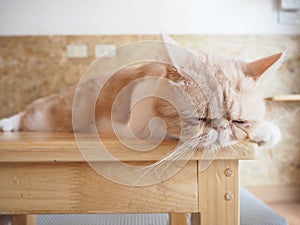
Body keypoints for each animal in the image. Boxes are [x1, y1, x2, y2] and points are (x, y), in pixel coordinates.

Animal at [0, 37, 282, 149]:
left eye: (239, 122)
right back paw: (7, 124)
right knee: (27, 112)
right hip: (42, 117)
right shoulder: (136, 126)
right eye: (200, 119)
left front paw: (266, 131)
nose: (220, 128)